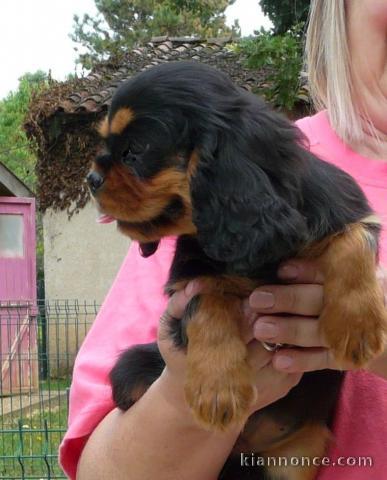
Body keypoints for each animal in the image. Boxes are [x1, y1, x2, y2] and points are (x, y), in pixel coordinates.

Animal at [88, 62, 387, 480]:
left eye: (136, 150)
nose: (91, 180)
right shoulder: (188, 281)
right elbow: (208, 301)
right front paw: (217, 391)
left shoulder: (345, 212)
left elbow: (354, 240)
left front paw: (357, 329)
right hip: (130, 368)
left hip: (296, 457)